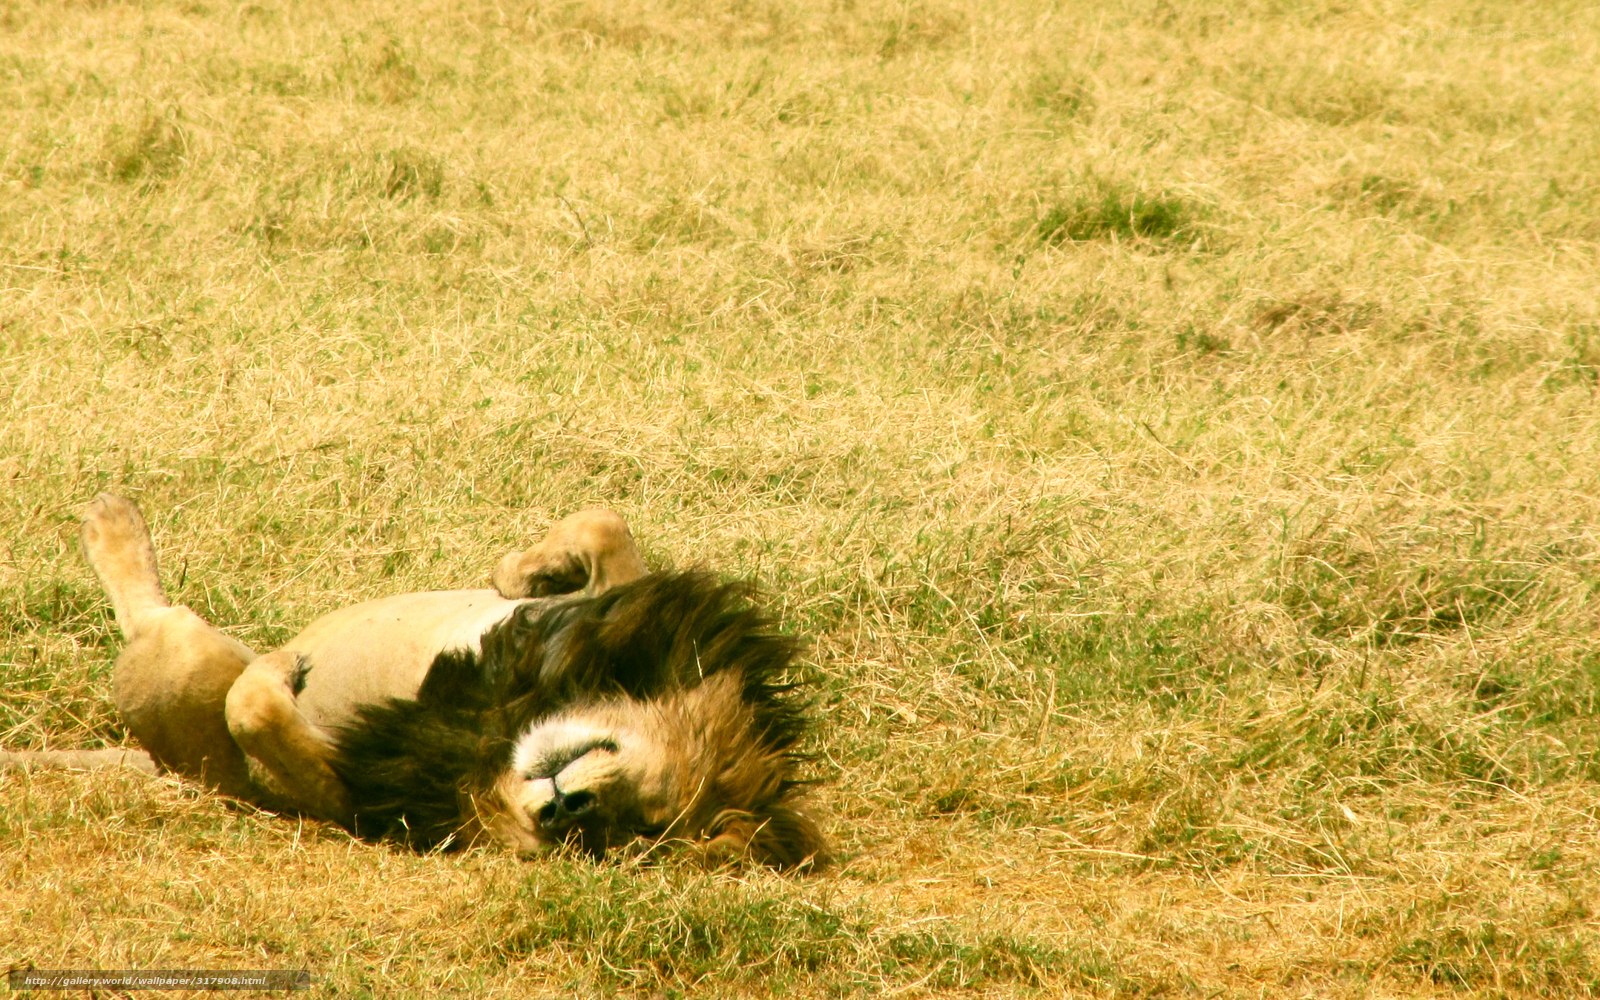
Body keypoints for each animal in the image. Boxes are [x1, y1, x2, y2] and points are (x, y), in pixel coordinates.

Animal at [2, 495, 825, 870]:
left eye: (636, 832)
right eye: (651, 815)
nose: (572, 811)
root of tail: (151, 759)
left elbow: (265, 722)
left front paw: (294, 704)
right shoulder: (624, 616)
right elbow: (603, 527)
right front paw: (523, 570)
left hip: (187, 666)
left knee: (164, 631)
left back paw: (117, 531)